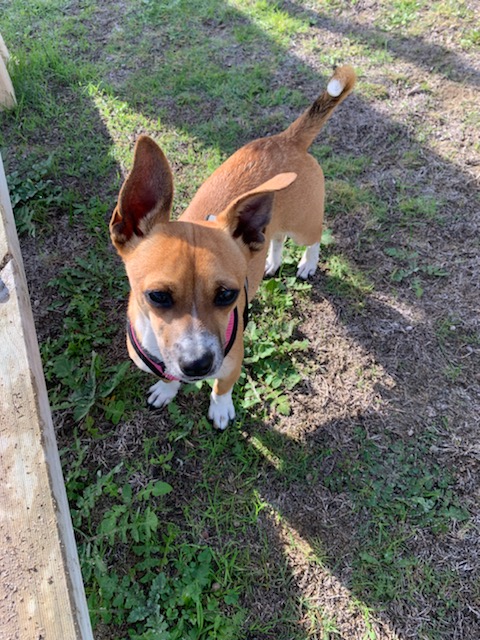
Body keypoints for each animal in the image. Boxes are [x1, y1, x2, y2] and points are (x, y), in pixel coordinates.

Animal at [110, 65, 356, 429]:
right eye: (157, 296)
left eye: (227, 295)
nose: (197, 365)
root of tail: (287, 139)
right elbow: (167, 377)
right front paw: (167, 390)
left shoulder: (232, 361)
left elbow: (222, 386)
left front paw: (220, 408)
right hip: (271, 223)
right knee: (275, 236)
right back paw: (271, 261)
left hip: (305, 225)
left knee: (313, 238)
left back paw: (308, 264)